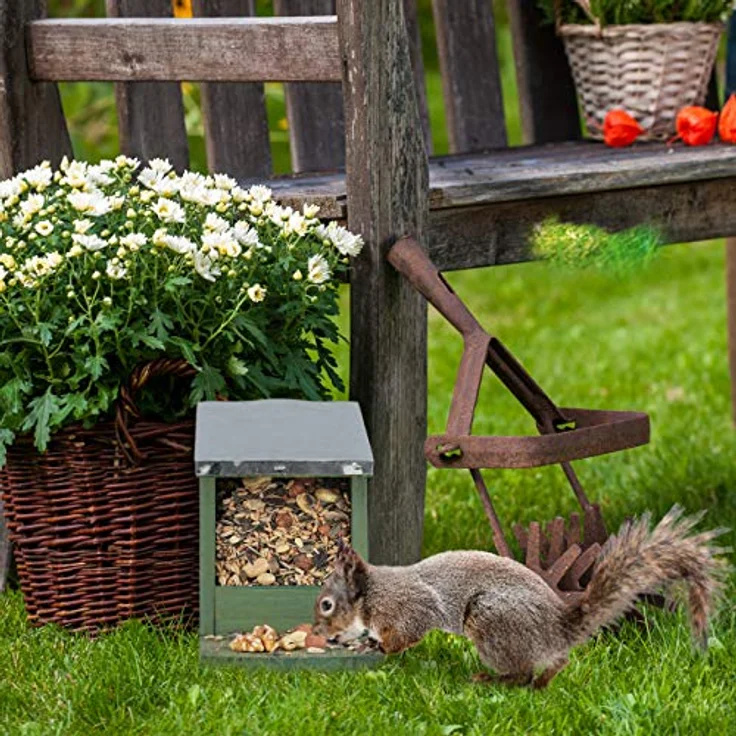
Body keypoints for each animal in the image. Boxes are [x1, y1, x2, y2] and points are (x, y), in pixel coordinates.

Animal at [313, 506, 729, 688]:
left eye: (326, 604)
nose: (320, 634)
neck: (371, 594)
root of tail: (558, 628)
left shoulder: (408, 606)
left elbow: (408, 632)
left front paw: (383, 647)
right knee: (555, 662)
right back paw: (544, 681)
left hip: (490, 618)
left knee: (521, 671)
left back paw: (492, 680)